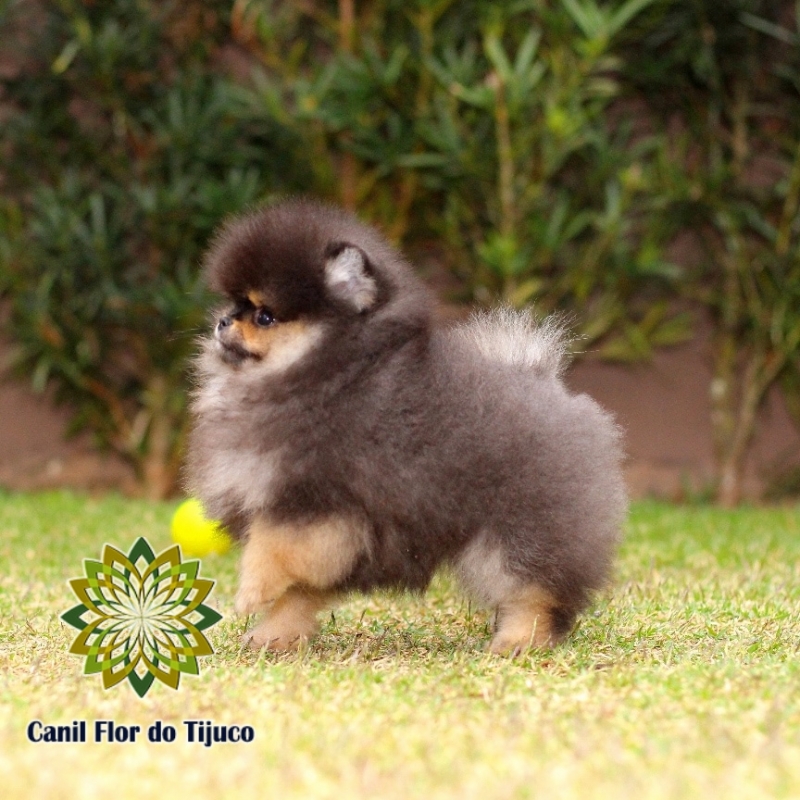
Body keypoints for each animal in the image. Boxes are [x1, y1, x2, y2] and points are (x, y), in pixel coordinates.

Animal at [188, 200, 624, 656]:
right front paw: (275, 635)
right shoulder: (334, 534)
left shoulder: (317, 500)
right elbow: (300, 590)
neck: (329, 372)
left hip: (520, 528)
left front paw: (250, 593)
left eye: (265, 315)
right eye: (234, 304)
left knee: (537, 589)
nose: (223, 321)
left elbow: (271, 551)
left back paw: (519, 640)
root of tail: (550, 386)